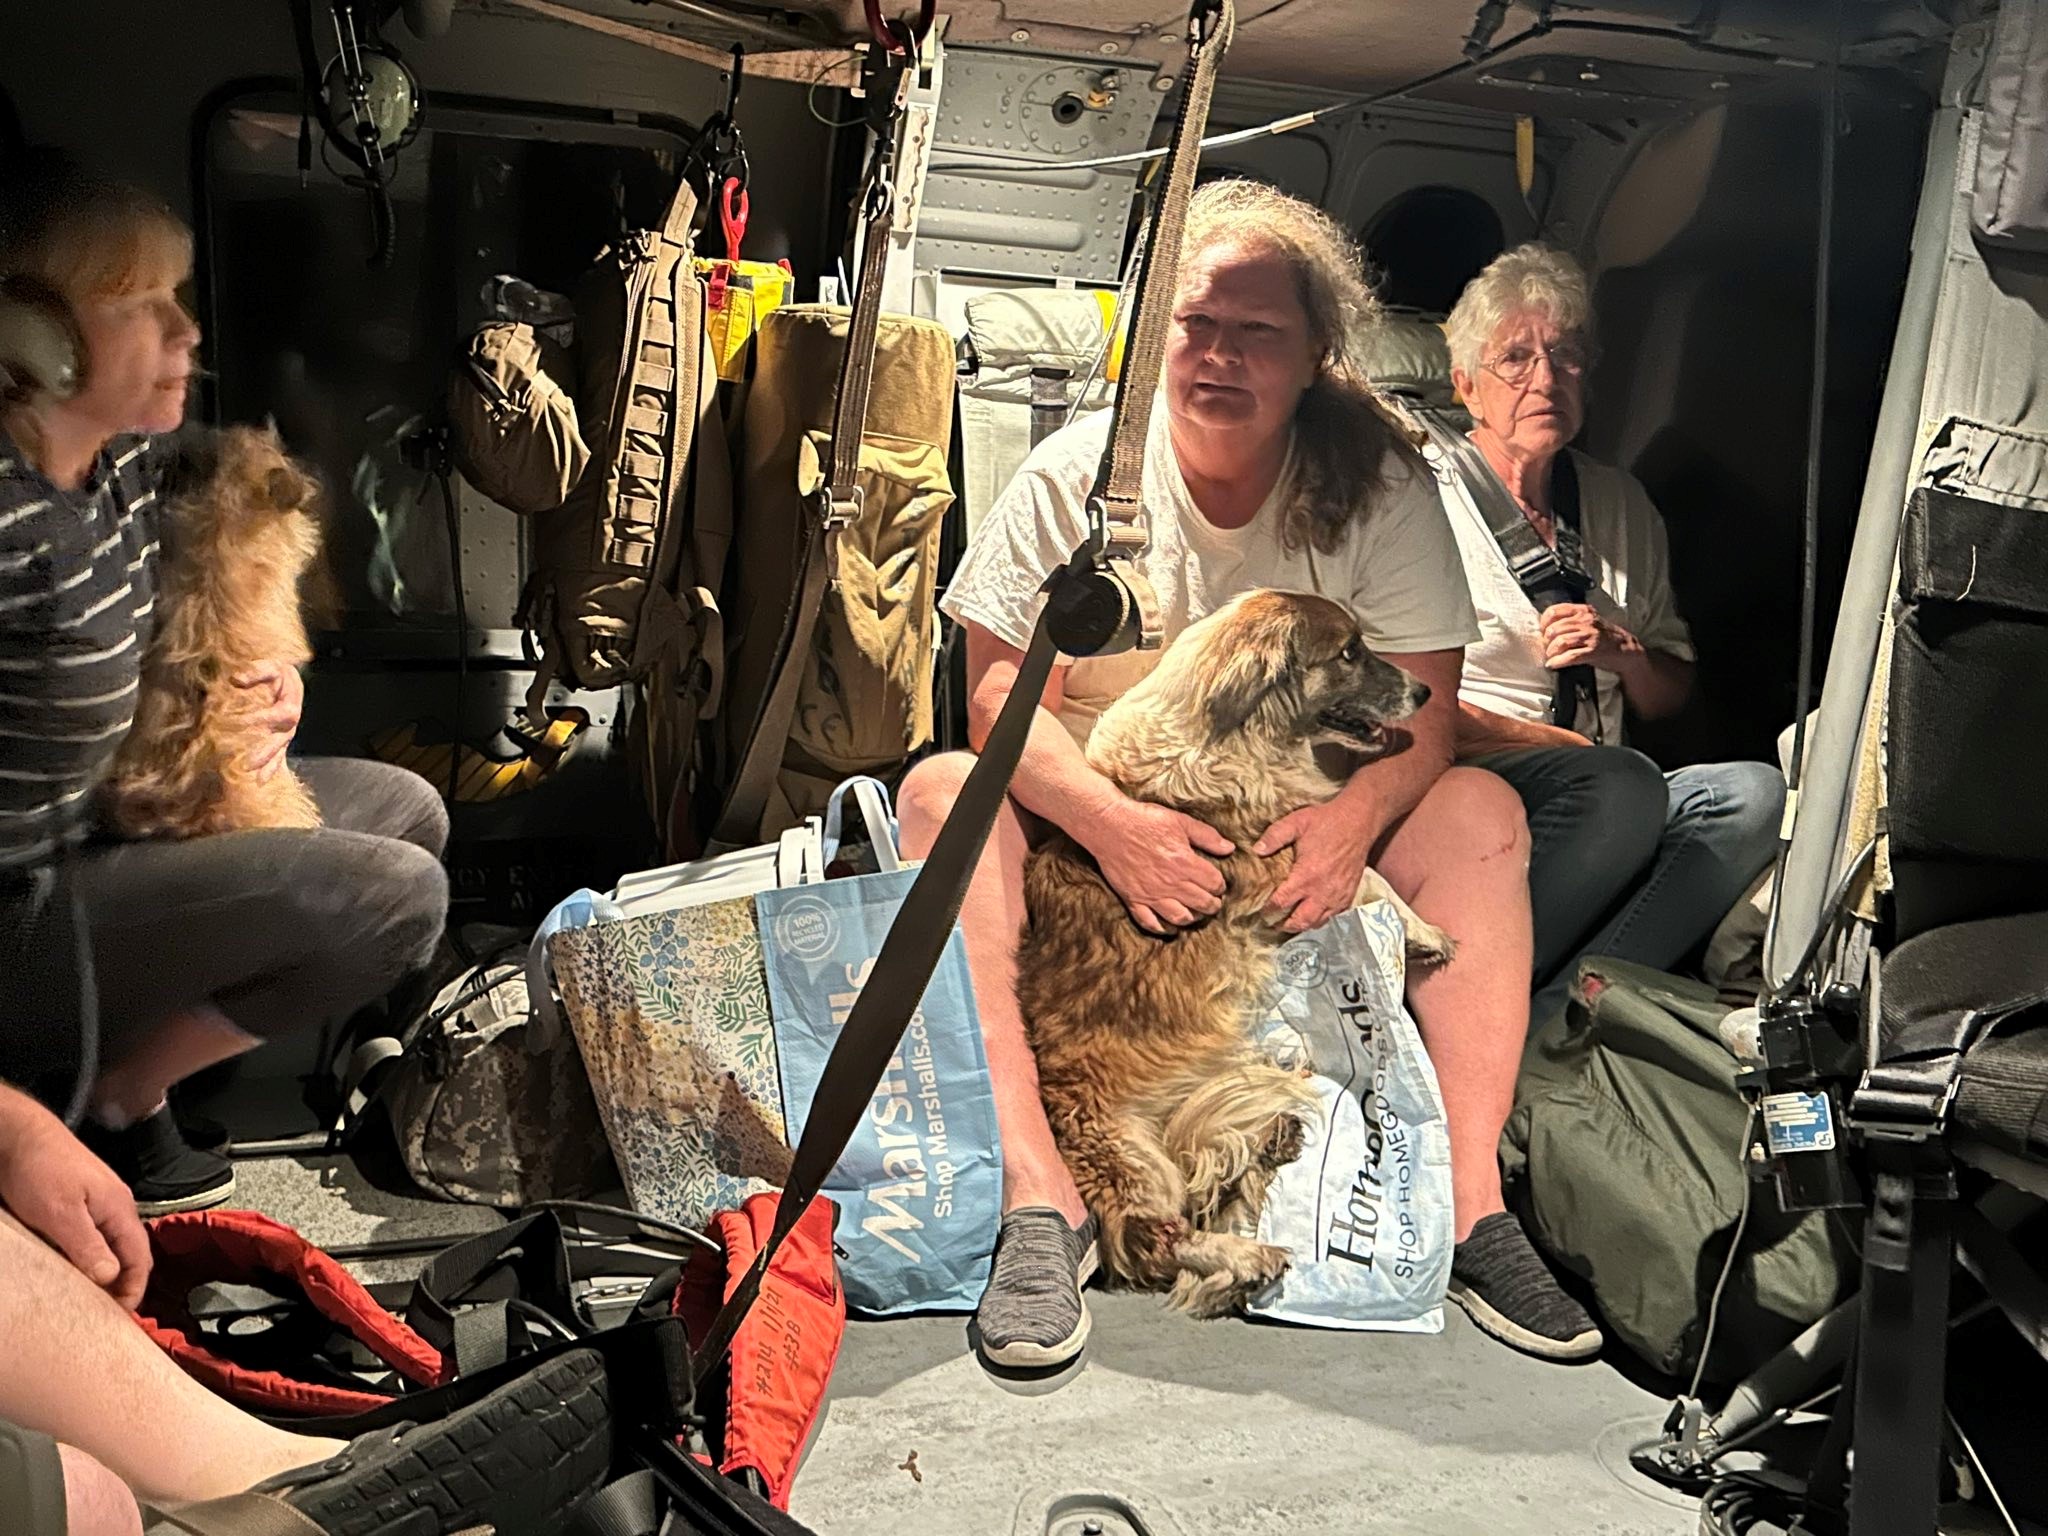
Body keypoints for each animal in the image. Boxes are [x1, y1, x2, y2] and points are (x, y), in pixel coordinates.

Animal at [1015, 593, 1449, 1318]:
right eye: (1349, 652)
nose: (1425, 691)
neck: (1234, 736)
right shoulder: (1283, 866)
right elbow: (1371, 876)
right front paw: (1428, 932)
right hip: (1127, 1159)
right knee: (1157, 1238)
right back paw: (1246, 1257)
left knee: (1206, 1184)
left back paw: (1269, 1143)